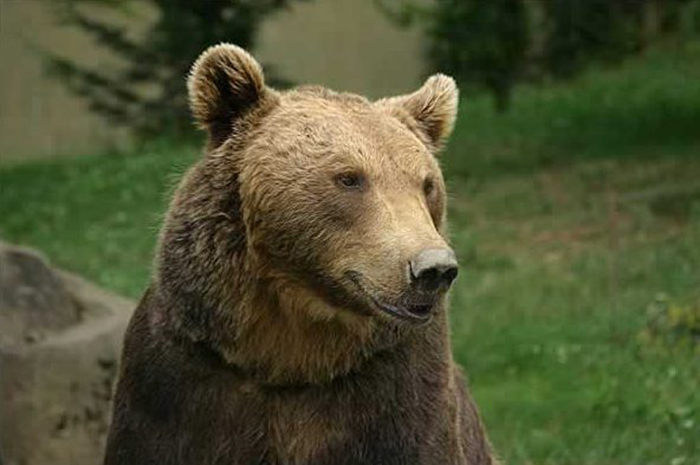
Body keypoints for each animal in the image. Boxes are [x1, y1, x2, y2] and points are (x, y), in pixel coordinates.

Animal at [102, 43, 498, 464]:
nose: (434, 269)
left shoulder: (399, 391)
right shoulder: (177, 381)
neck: (293, 356)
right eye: (349, 178)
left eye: (427, 184)